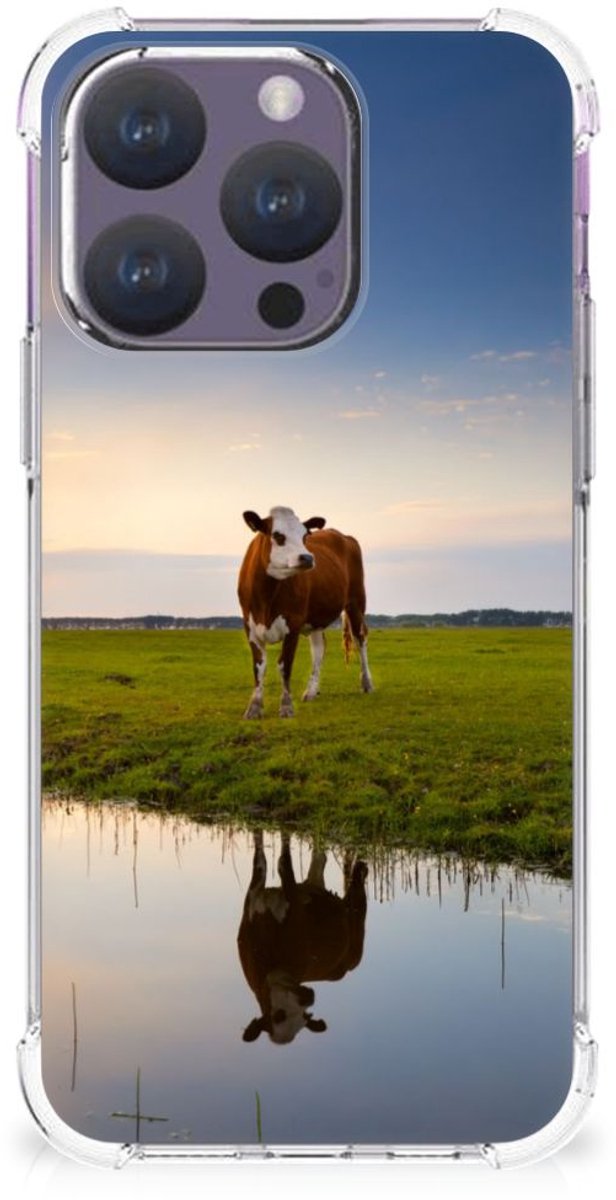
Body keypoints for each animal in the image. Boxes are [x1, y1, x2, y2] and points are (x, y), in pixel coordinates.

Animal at [237, 831, 368, 1045]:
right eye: (278, 1016)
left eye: (304, 1018)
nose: (309, 998)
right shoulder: (253, 897)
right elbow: (261, 859)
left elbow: (283, 863)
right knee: (320, 858)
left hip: (356, 934)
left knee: (357, 897)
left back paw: (361, 869)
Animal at [238, 506, 373, 719]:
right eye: (277, 535)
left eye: (304, 536)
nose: (308, 558)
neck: (266, 597)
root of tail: (343, 535)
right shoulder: (250, 626)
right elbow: (259, 667)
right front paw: (254, 707)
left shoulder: (293, 624)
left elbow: (284, 665)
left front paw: (286, 706)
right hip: (316, 617)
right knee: (319, 648)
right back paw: (311, 691)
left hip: (356, 602)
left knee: (360, 639)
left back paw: (366, 683)